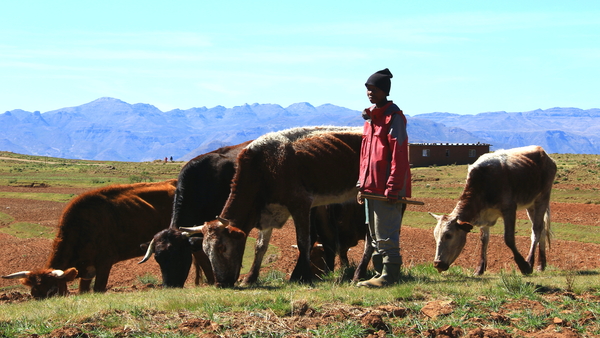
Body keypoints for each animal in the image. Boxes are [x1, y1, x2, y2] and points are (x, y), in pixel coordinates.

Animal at [2, 180, 177, 298]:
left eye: (53, 290)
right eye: (34, 293)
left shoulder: (105, 262)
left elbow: (98, 289)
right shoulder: (86, 270)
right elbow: (83, 291)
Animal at [180, 125, 364, 286]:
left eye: (222, 247)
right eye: (205, 251)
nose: (220, 283)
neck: (263, 167)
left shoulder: (301, 204)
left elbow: (303, 242)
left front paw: (302, 276)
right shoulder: (266, 212)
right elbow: (260, 246)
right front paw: (250, 278)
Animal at [428, 145, 556, 274]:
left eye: (448, 235)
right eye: (435, 235)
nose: (437, 264)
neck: (483, 182)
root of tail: (544, 154)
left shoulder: (509, 209)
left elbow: (509, 239)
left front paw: (523, 265)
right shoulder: (484, 216)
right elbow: (484, 240)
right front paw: (480, 268)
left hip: (542, 198)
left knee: (536, 230)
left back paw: (530, 262)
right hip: (531, 205)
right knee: (542, 229)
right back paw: (541, 264)